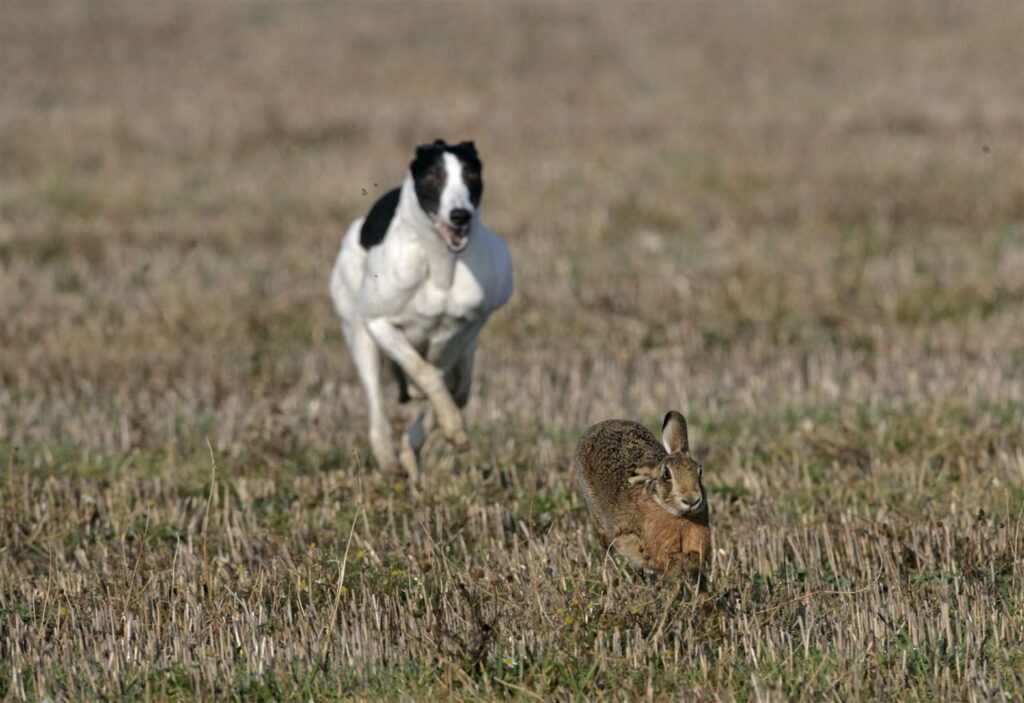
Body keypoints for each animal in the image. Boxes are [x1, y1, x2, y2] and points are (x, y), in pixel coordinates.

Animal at [329, 139, 512, 478]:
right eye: (432, 177)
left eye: (470, 174)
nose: (460, 215)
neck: (440, 263)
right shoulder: (379, 324)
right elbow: (425, 371)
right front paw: (452, 424)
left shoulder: (468, 326)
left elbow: (444, 379)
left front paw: (449, 428)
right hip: (359, 336)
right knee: (378, 405)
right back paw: (390, 462)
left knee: (458, 387)